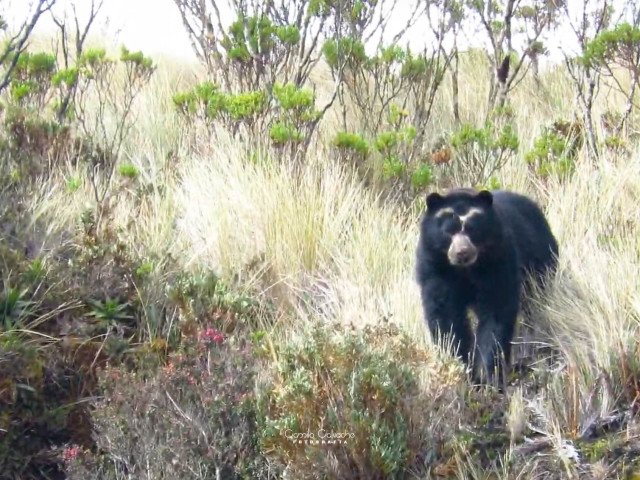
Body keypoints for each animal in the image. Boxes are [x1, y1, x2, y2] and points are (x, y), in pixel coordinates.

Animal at [415, 188, 559, 384]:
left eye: (472, 229)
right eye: (448, 231)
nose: (462, 252)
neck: (466, 270)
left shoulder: (499, 259)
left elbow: (496, 312)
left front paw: (487, 375)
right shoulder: (435, 266)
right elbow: (445, 315)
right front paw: (461, 365)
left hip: (540, 263)